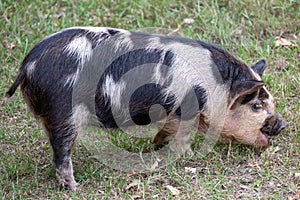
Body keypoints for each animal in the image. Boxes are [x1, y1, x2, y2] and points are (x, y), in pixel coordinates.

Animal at [6, 26, 288, 189]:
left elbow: (167, 130)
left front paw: (157, 145)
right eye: (257, 105)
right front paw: (188, 157)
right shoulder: (187, 108)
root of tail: (29, 64)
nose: (283, 124)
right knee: (61, 151)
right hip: (63, 110)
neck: (215, 88)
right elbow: (184, 136)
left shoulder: (173, 112)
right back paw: (76, 188)